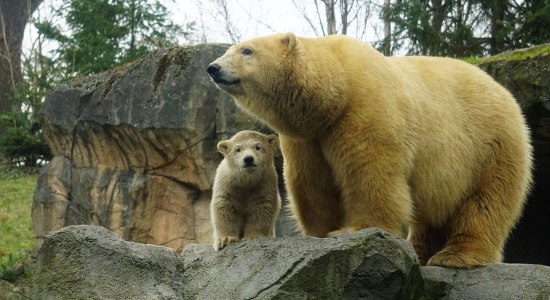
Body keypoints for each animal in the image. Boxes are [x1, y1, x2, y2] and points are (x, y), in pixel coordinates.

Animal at [208, 32, 536, 268]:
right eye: (233, 48)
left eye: (247, 50)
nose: (213, 67)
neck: (337, 86)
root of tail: (505, 93)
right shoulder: (307, 135)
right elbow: (311, 183)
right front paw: (320, 233)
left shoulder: (365, 109)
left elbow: (370, 171)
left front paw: (353, 231)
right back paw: (420, 251)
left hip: (490, 144)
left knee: (485, 201)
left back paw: (455, 255)